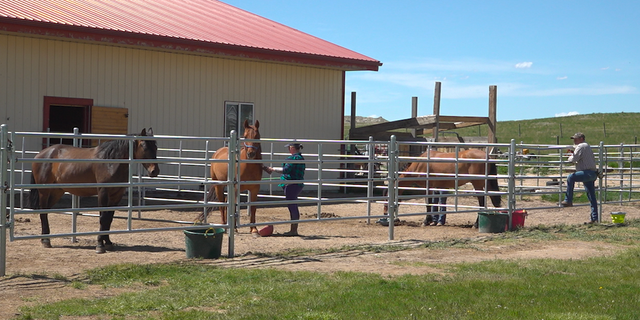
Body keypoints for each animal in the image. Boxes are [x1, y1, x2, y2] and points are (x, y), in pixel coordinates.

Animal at [29, 129, 160, 254]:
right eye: (144, 146)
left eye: (155, 147)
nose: (154, 171)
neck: (110, 162)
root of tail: (40, 154)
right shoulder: (103, 193)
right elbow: (102, 218)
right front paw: (100, 245)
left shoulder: (116, 195)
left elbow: (109, 218)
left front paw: (108, 242)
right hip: (44, 191)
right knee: (43, 212)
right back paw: (46, 241)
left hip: (57, 192)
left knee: (45, 211)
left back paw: (44, 239)